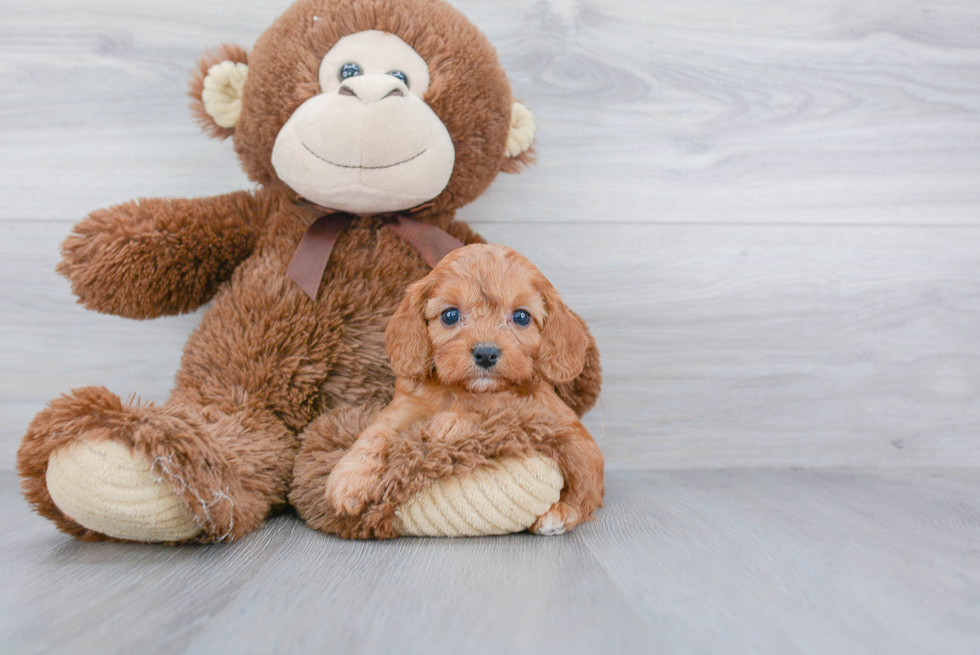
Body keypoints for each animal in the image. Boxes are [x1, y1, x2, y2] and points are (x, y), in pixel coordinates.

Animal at [326, 243, 604, 536]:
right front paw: (348, 480)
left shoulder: (531, 408)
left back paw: (559, 515)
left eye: (521, 317)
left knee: (588, 491)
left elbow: (490, 406)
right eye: (451, 315)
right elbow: (374, 434)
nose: (485, 353)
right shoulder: (402, 410)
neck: (461, 389)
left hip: (576, 445)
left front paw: (450, 423)